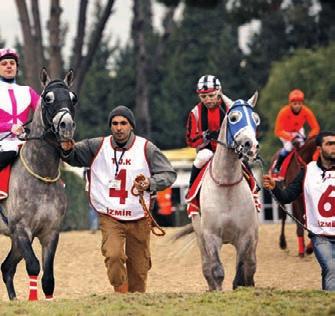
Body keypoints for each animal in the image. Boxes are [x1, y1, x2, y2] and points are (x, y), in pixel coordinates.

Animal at [0, 68, 77, 300]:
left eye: (73, 98)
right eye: (48, 98)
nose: (67, 126)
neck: (40, 175)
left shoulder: (50, 232)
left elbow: (48, 277)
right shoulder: (21, 230)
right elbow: (33, 266)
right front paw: (32, 300)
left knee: (6, 268)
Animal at [178, 92, 260, 292]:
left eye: (256, 119)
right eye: (234, 118)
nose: (251, 145)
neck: (227, 185)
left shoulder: (246, 236)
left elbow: (243, 269)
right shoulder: (211, 236)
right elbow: (216, 270)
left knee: (250, 264)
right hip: (200, 236)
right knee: (206, 267)